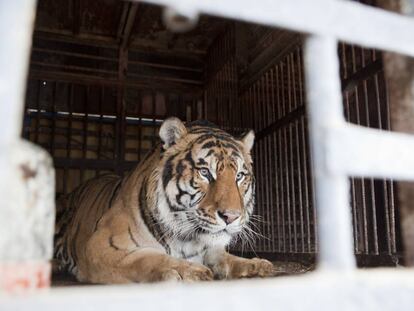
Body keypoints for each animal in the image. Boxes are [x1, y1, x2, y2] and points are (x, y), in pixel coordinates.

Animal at [54, 117, 274, 286]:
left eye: (239, 176)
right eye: (204, 172)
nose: (231, 217)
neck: (188, 240)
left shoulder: (212, 249)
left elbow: (227, 259)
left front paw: (257, 265)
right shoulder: (100, 245)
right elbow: (144, 258)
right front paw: (189, 271)